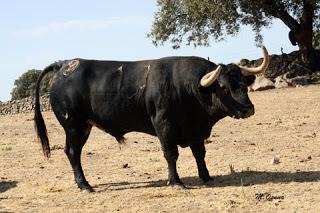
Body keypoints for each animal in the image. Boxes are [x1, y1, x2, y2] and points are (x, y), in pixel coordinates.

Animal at [33, 47, 268, 192]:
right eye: (224, 87)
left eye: (243, 84)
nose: (248, 108)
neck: (188, 88)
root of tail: (63, 65)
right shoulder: (164, 125)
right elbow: (171, 154)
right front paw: (176, 182)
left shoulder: (195, 130)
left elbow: (199, 153)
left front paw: (206, 176)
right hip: (74, 126)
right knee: (73, 152)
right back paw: (85, 185)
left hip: (82, 127)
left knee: (73, 152)